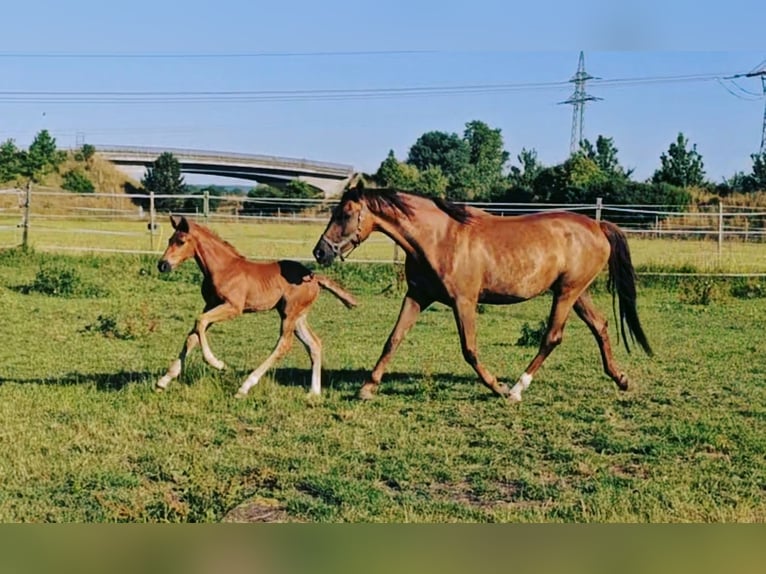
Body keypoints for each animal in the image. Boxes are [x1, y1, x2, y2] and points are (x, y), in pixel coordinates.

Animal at [156, 215, 357, 397]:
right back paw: (314, 392)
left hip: (290, 313)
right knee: (314, 344)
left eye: (181, 242)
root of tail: (314, 278)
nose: (162, 265)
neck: (223, 268)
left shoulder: (233, 307)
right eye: (169, 240)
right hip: (297, 316)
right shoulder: (210, 305)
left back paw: (245, 386)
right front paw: (164, 380)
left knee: (284, 344)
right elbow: (194, 334)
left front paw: (217, 363)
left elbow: (200, 322)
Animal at [313, 188, 652, 403]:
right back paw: (620, 378)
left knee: (552, 337)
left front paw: (497, 387)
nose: (320, 252)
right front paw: (367, 388)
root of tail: (597, 225)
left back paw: (516, 390)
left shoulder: (464, 302)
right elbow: (393, 339)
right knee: (600, 326)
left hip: (567, 293)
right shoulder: (417, 297)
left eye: (345, 214)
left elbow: (470, 350)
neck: (440, 238)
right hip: (576, 293)